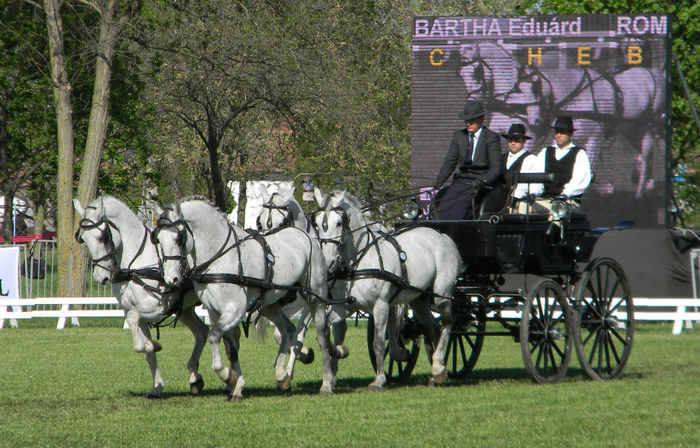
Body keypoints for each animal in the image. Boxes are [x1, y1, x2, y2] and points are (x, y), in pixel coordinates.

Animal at [73, 194, 217, 398]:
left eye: (103, 237)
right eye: (83, 238)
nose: (101, 277)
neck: (136, 263)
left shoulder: (156, 309)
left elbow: (137, 327)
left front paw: (154, 344)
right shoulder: (132, 310)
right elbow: (145, 351)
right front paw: (156, 387)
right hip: (185, 309)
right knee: (201, 332)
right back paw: (195, 378)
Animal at [155, 197, 348, 400]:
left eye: (179, 237)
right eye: (158, 239)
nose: (172, 278)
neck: (220, 257)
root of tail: (307, 236)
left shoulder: (235, 310)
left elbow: (214, 335)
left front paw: (226, 375)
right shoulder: (216, 312)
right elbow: (231, 349)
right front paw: (236, 385)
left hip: (315, 299)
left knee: (322, 337)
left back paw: (326, 384)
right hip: (270, 304)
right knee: (287, 329)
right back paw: (282, 376)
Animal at [314, 187, 462, 390]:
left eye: (339, 223)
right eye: (317, 223)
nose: (327, 262)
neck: (359, 260)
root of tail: (442, 235)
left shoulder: (381, 305)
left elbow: (377, 342)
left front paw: (379, 380)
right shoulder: (344, 307)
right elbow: (325, 332)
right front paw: (337, 355)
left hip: (442, 294)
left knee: (448, 321)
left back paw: (438, 367)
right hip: (419, 300)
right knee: (433, 329)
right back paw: (438, 372)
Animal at [410, 14, 672, 229]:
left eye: (476, 72)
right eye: (460, 74)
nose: (473, 102)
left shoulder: (587, 137)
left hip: (648, 125)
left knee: (647, 154)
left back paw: (641, 195)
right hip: (633, 129)